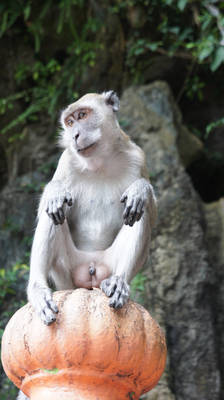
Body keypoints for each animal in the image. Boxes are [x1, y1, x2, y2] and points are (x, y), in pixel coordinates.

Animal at [16, 90, 157, 400]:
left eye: (82, 115)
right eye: (69, 122)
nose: (75, 134)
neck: (99, 161)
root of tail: (90, 272)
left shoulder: (137, 156)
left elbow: (146, 202)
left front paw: (140, 189)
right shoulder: (66, 161)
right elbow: (50, 199)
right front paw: (55, 191)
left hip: (108, 264)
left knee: (139, 212)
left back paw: (118, 282)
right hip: (65, 271)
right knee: (53, 212)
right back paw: (38, 290)